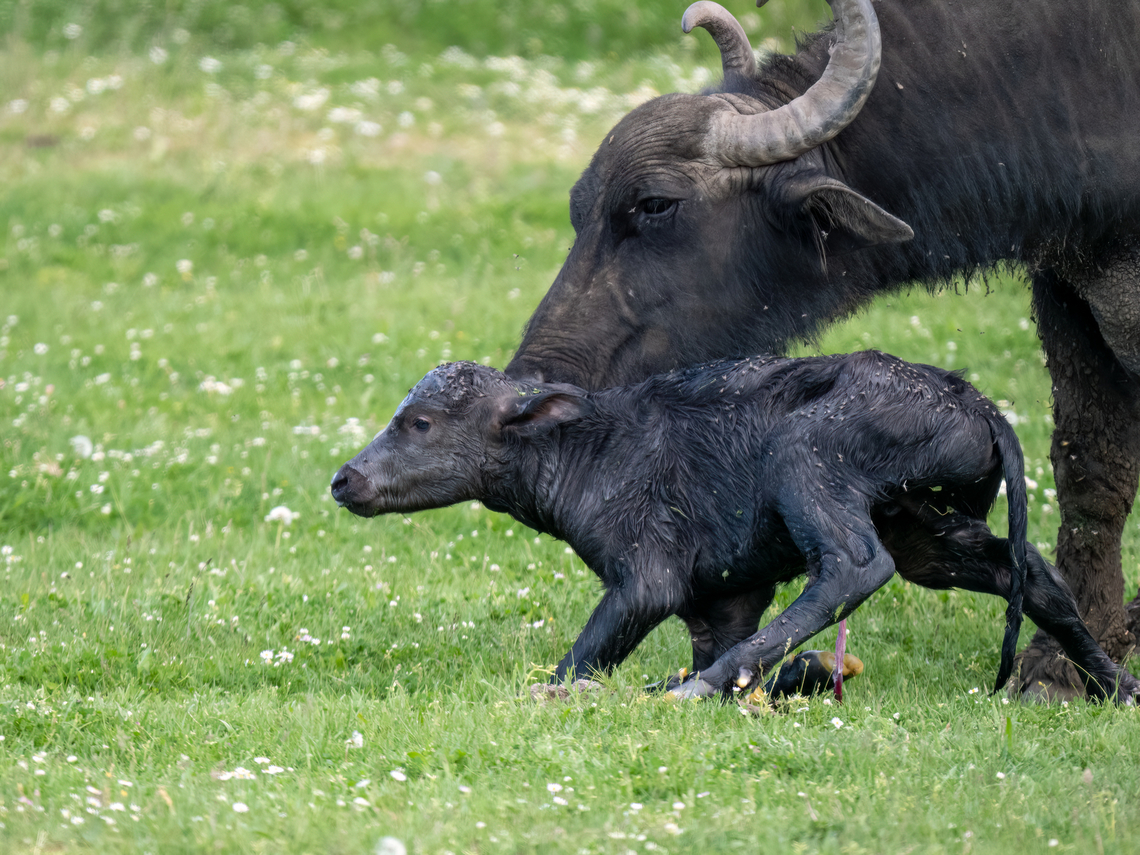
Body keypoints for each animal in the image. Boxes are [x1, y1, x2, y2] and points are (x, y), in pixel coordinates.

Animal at [330, 355, 1140, 704]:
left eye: (418, 422)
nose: (345, 479)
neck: (589, 451)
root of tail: (972, 401)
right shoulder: (725, 596)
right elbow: (712, 637)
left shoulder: (647, 577)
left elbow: (589, 651)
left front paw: (556, 692)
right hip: (927, 527)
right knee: (1027, 572)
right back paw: (1116, 685)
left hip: (809, 460)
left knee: (852, 568)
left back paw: (704, 688)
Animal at [503, 0, 1140, 701]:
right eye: (578, 207)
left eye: (655, 204)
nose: (532, 377)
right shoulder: (1066, 288)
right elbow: (1091, 470)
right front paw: (1062, 666)